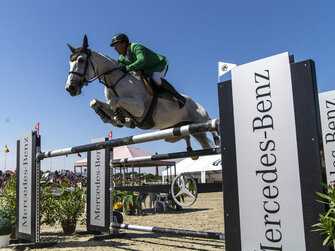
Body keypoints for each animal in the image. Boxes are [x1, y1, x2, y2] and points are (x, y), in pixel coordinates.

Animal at [65, 36, 220, 152]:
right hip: (174, 132)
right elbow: (95, 102)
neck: (114, 80)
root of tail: (198, 105)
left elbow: (114, 101)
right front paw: (113, 119)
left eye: (81, 60)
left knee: (210, 133)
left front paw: (120, 119)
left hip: (200, 121)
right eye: (70, 62)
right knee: (186, 137)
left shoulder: (139, 108)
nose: (70, 88)